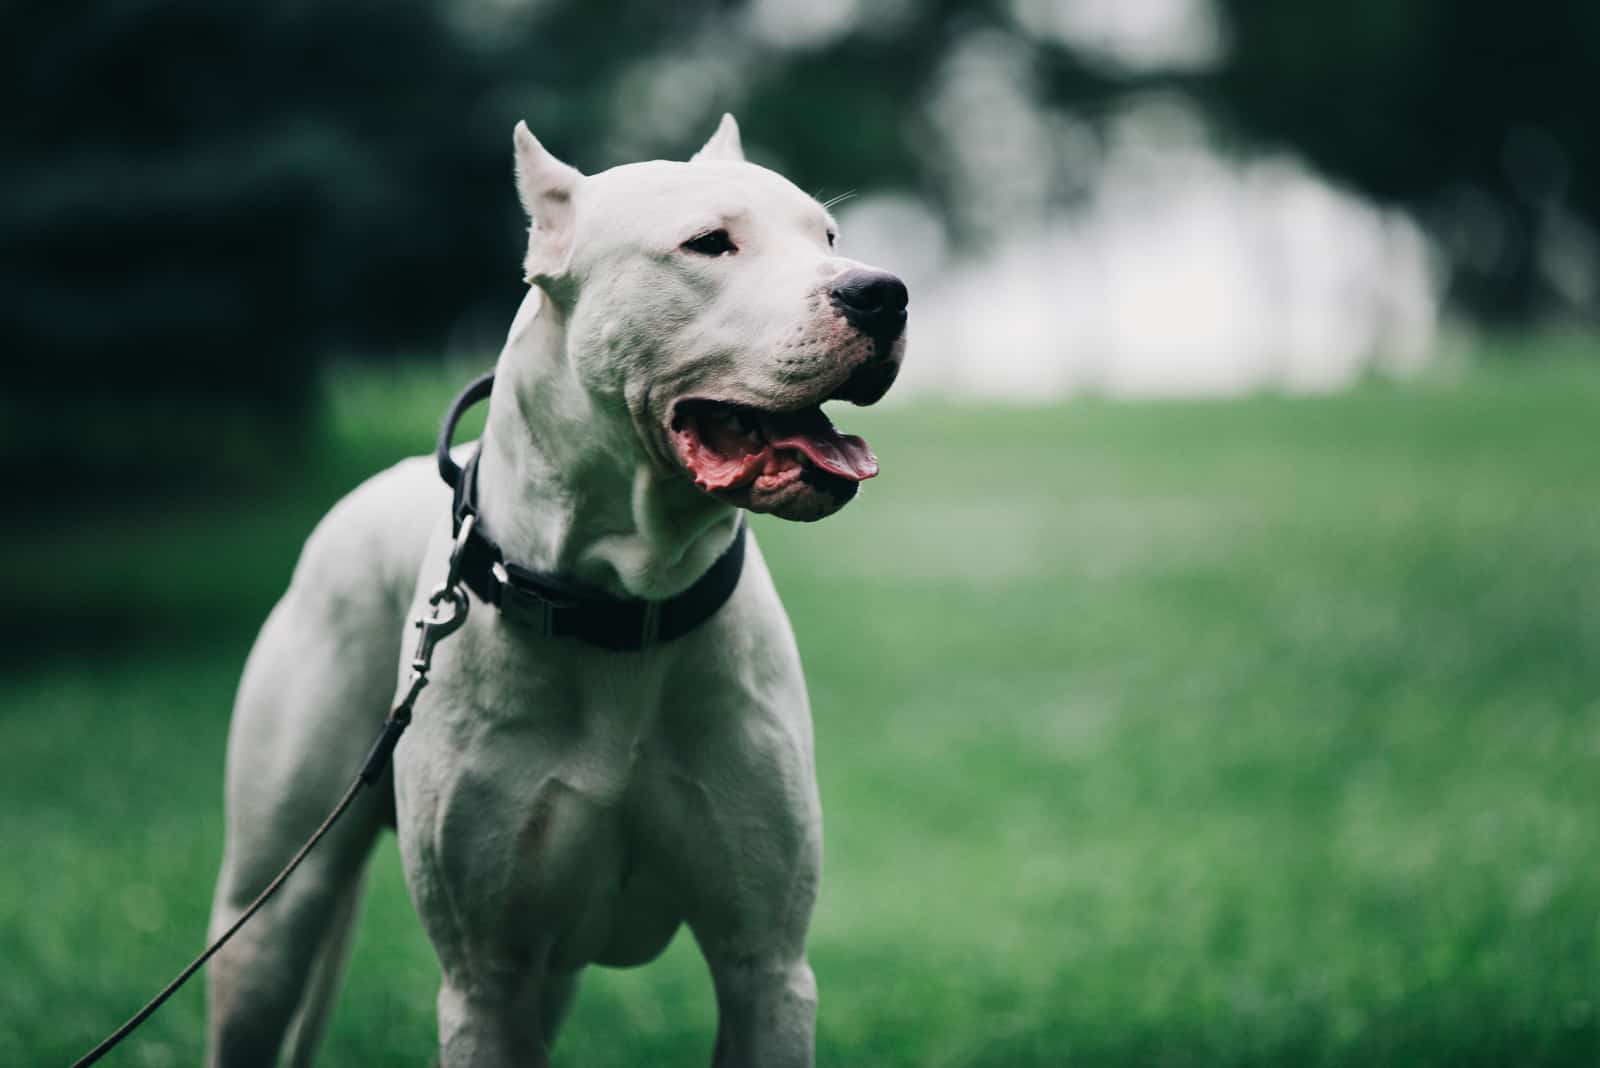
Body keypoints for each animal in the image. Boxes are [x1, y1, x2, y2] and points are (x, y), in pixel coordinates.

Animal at [208, 112, 915, 1061]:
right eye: (710, 243)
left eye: (828, 237)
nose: (883, 292)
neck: (623, 600)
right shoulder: (484, 978)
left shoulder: (765, 967)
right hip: (270, 914)